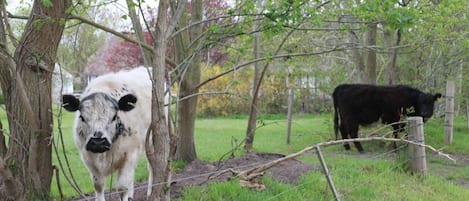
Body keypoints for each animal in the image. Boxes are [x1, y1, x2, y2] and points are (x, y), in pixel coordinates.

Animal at [61, 66, 156, 200]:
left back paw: (149, 192)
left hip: (151, 141)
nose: (98, 142)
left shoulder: (130, 154)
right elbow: (99, 186)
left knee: (151, 166)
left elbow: (122, 187)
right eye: (82, 117)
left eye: (114, 116)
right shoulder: (88, 159)